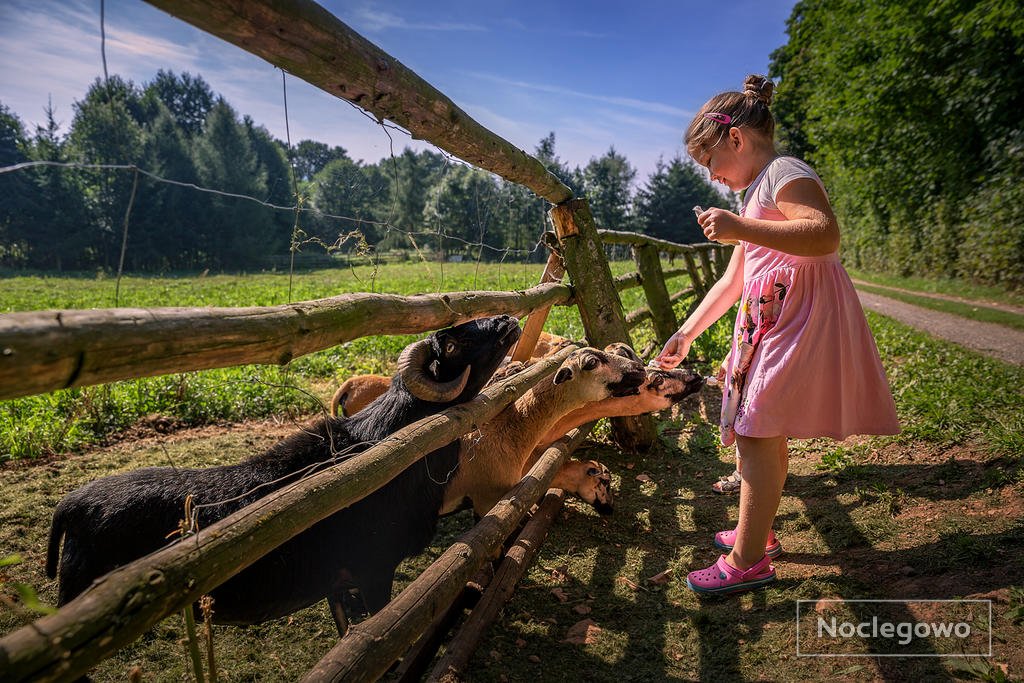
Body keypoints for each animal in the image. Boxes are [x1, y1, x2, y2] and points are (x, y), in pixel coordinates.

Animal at [46, 315, 528, 634]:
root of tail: (71, 506)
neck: (398, 446)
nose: (507, 319)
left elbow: (347, 634)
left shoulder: (338, 582)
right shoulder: (373, 570)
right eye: (454, 343)